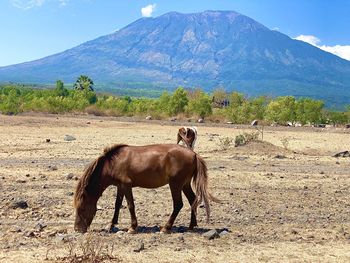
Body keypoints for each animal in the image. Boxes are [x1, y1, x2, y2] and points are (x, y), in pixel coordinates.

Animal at [73, 145, 216, 234]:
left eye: (82, 208)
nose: (77, 229)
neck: (112, 163)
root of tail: (194, 154)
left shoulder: (126, 185)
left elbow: (130, 205)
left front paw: (132, 227)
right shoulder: (120, 186)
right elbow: (117, 204)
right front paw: (111, 224)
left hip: (175, 184)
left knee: (178, 204)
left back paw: (166, 228)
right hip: (184, 184)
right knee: (193, 200)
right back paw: (191, 226)